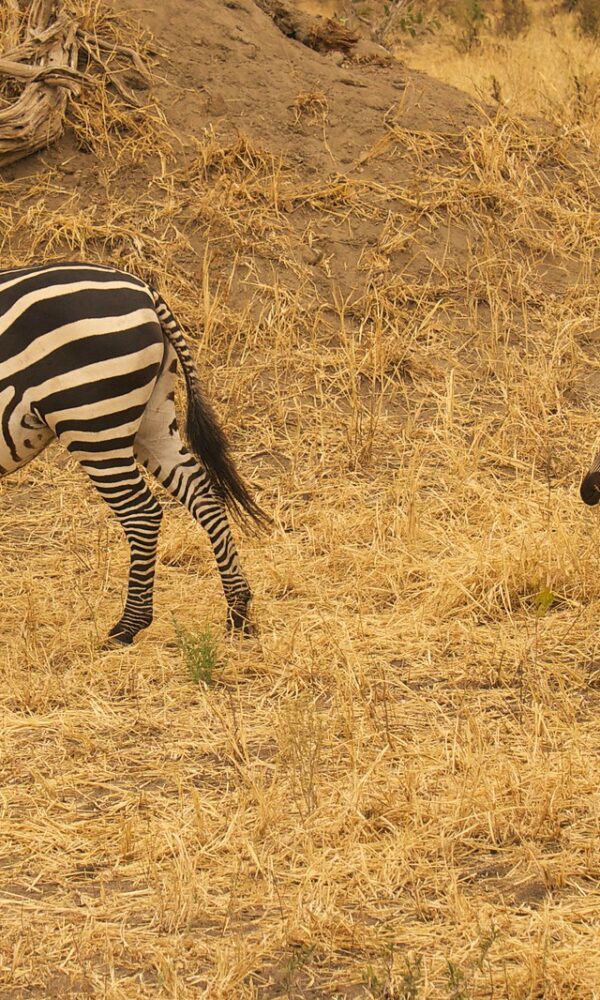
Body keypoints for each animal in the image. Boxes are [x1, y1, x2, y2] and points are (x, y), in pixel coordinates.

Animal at [0, 261, 268, 645]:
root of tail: (144, 289)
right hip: (151, 418)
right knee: (202, 492)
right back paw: (237, 609)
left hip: (92, 419)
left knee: (142, 512)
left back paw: (128, 626)